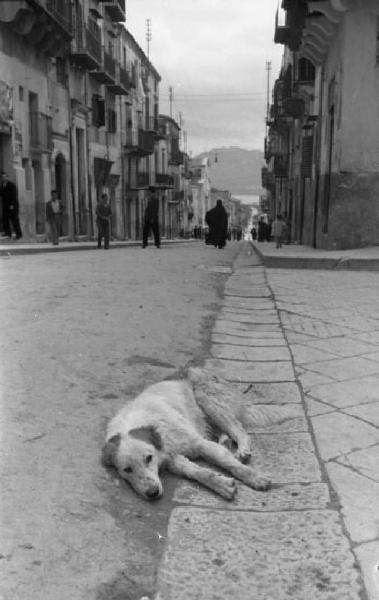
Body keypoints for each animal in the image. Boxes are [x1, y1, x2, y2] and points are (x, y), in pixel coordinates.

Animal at [102, 366, 272, 502]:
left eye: (148, 458)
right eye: (127, 470)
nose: (152, 493)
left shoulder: (199, 444)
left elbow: (229, 463)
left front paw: (254, 477)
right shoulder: (172, 458)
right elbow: (196, 471)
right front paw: (220, 484)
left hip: (205, 397)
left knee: (239, 429)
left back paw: (242, 449)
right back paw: (225, 441)